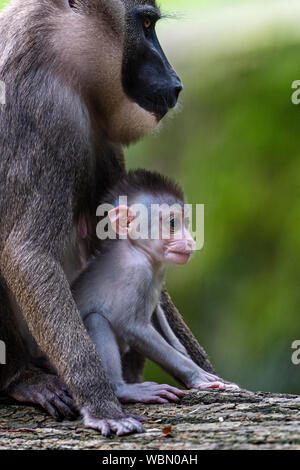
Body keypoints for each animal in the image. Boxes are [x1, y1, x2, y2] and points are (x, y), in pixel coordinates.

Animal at [0, 0, 216, 436]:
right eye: (146, 23)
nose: (175, 83)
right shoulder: (43, 106)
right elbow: (25, 251)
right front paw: (103, 405)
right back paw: (25, 379)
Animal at [71, 169, 238, 400]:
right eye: (172, 223)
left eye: (186, 222)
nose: (191, 241)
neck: (137, 249)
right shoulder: (136, 271)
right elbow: (132, 326)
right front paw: (197, 376)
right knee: (96, 320)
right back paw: (121, 389)